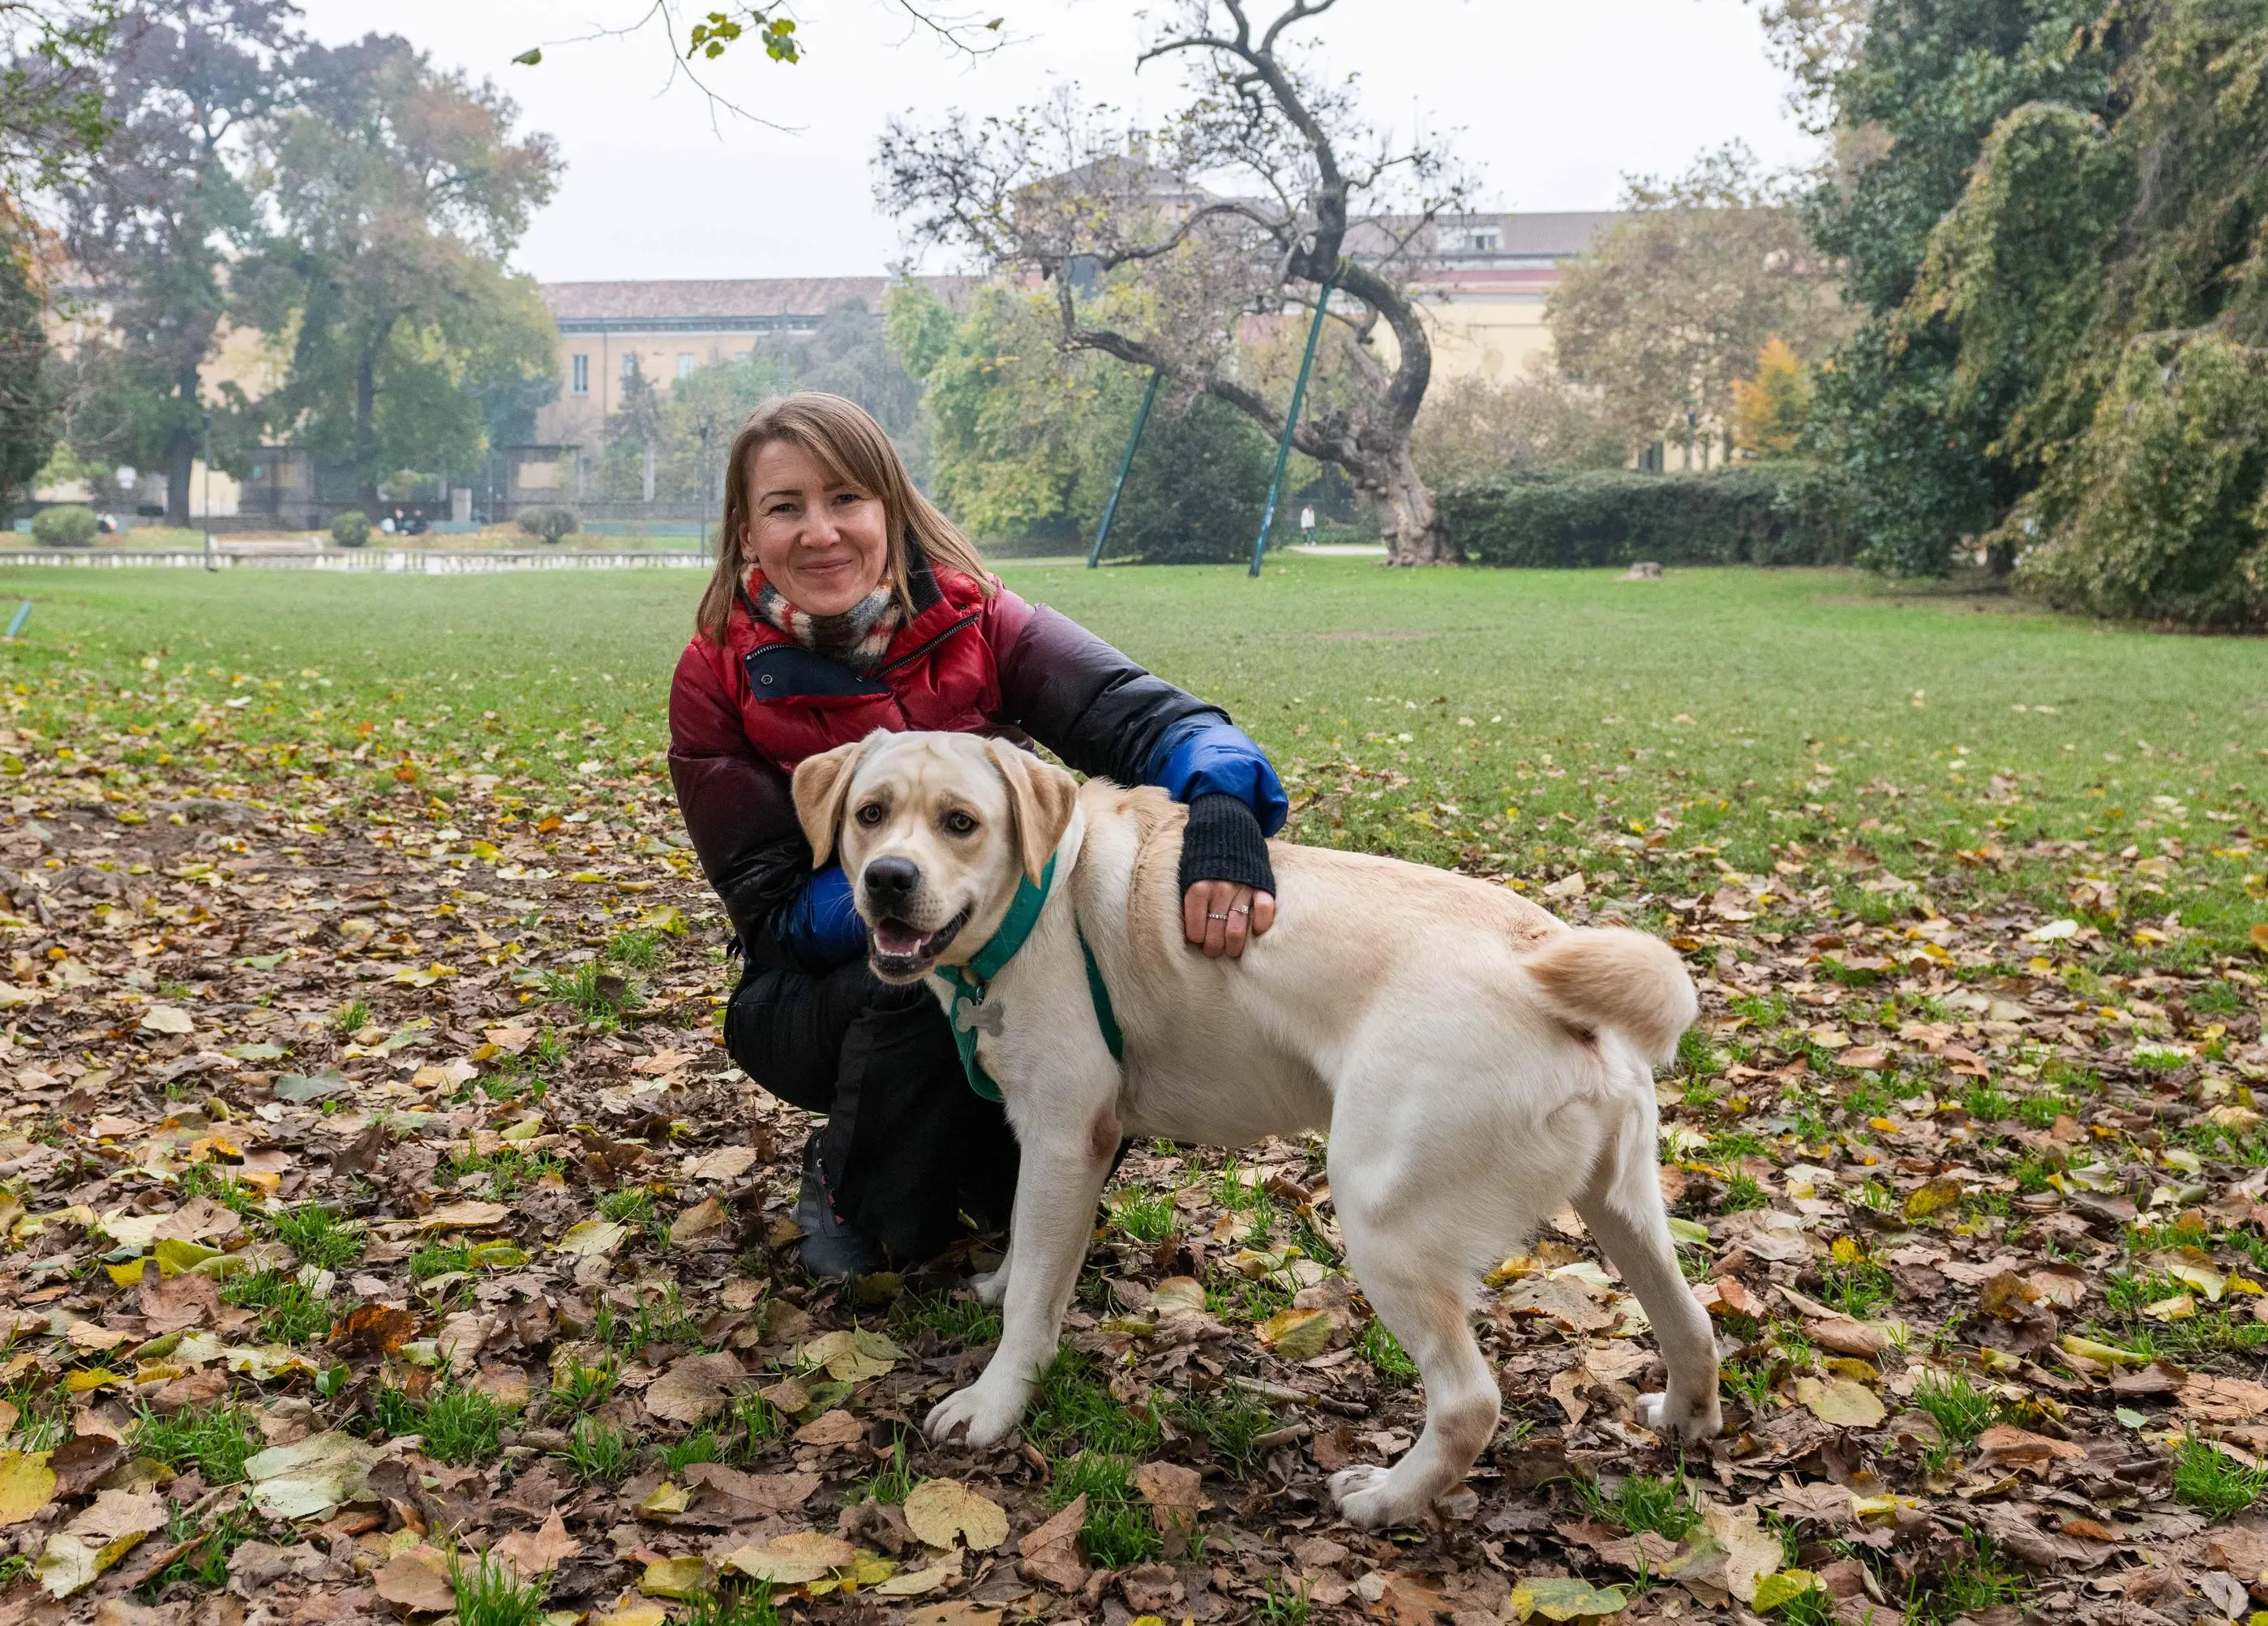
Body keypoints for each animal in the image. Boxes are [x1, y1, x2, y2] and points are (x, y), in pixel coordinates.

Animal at [798, 730, 1714, 1533]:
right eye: (871, 813)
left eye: (960, 822)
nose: (887, 878)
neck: (1042, 893)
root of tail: (1539, 952)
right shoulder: (1042, 1140)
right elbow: (1028, 1252)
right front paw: (1000, 1285)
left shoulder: (1065, 1137)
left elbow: (1032, 1302)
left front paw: (994, 1402)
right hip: (1624, 1208)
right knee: (1694, 1325)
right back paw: (1685, 1417)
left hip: (1382, 1223)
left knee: (1469, 1403)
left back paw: (1385, 1500)